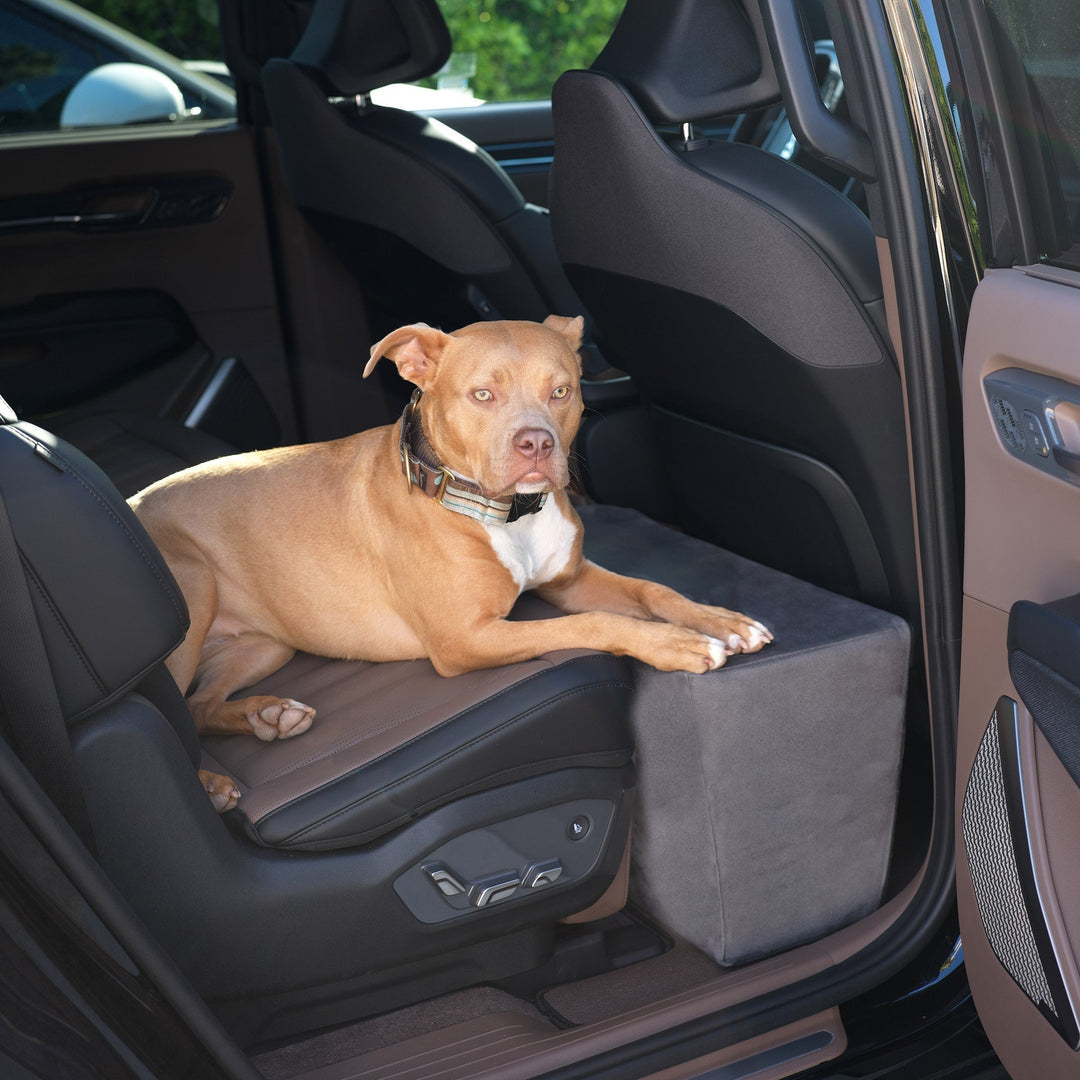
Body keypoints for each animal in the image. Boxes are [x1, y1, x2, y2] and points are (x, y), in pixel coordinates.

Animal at [130, 315, 773, 807]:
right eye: (482, 395)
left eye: (561, 391)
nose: (536, 444)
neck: (505, 513)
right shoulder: (464, 638)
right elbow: (595, 623)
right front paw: (677, 644)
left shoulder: (570, 580)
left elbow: (651, 591)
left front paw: (722, 621)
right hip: (190, 595)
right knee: (172, 707)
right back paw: (211, 784)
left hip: (266, 644)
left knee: (200, 705)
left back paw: (267, 717)